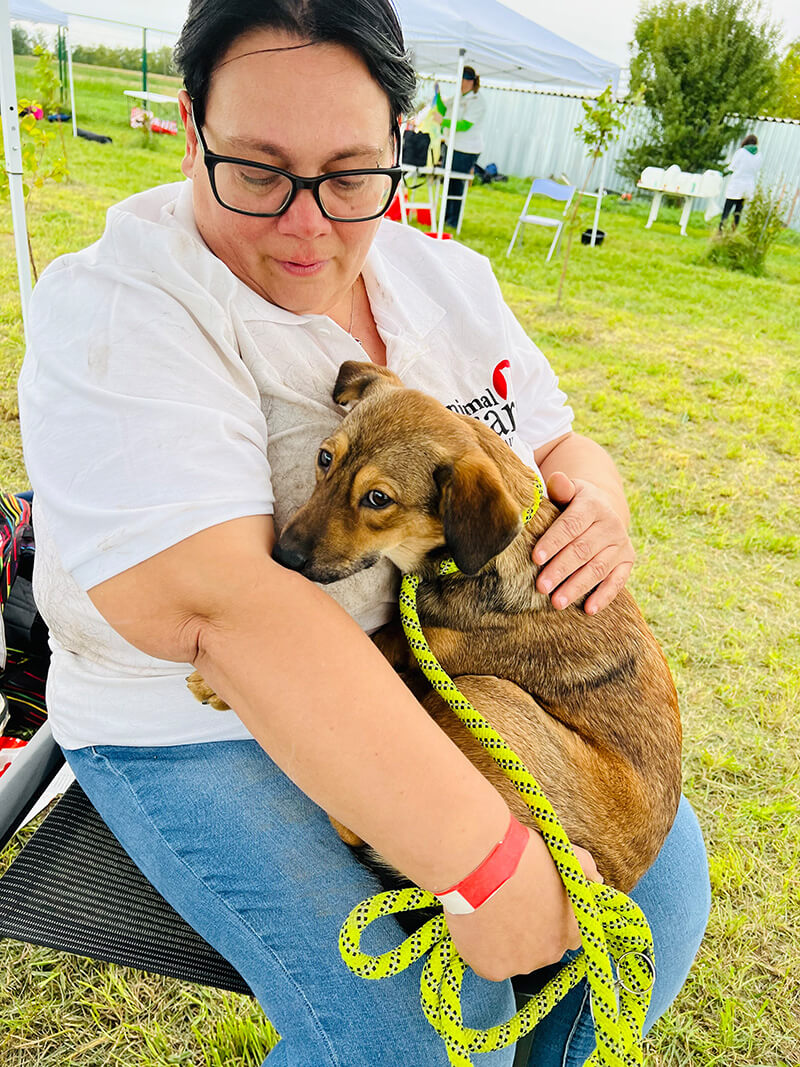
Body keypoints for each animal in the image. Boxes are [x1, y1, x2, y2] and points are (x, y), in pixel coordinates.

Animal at [189, 360, 682, 893]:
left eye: (378, 498)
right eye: (324, 458)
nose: (284, 556)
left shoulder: (433, 649)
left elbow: (376, 641)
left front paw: (215, 685)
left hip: (487, 694)